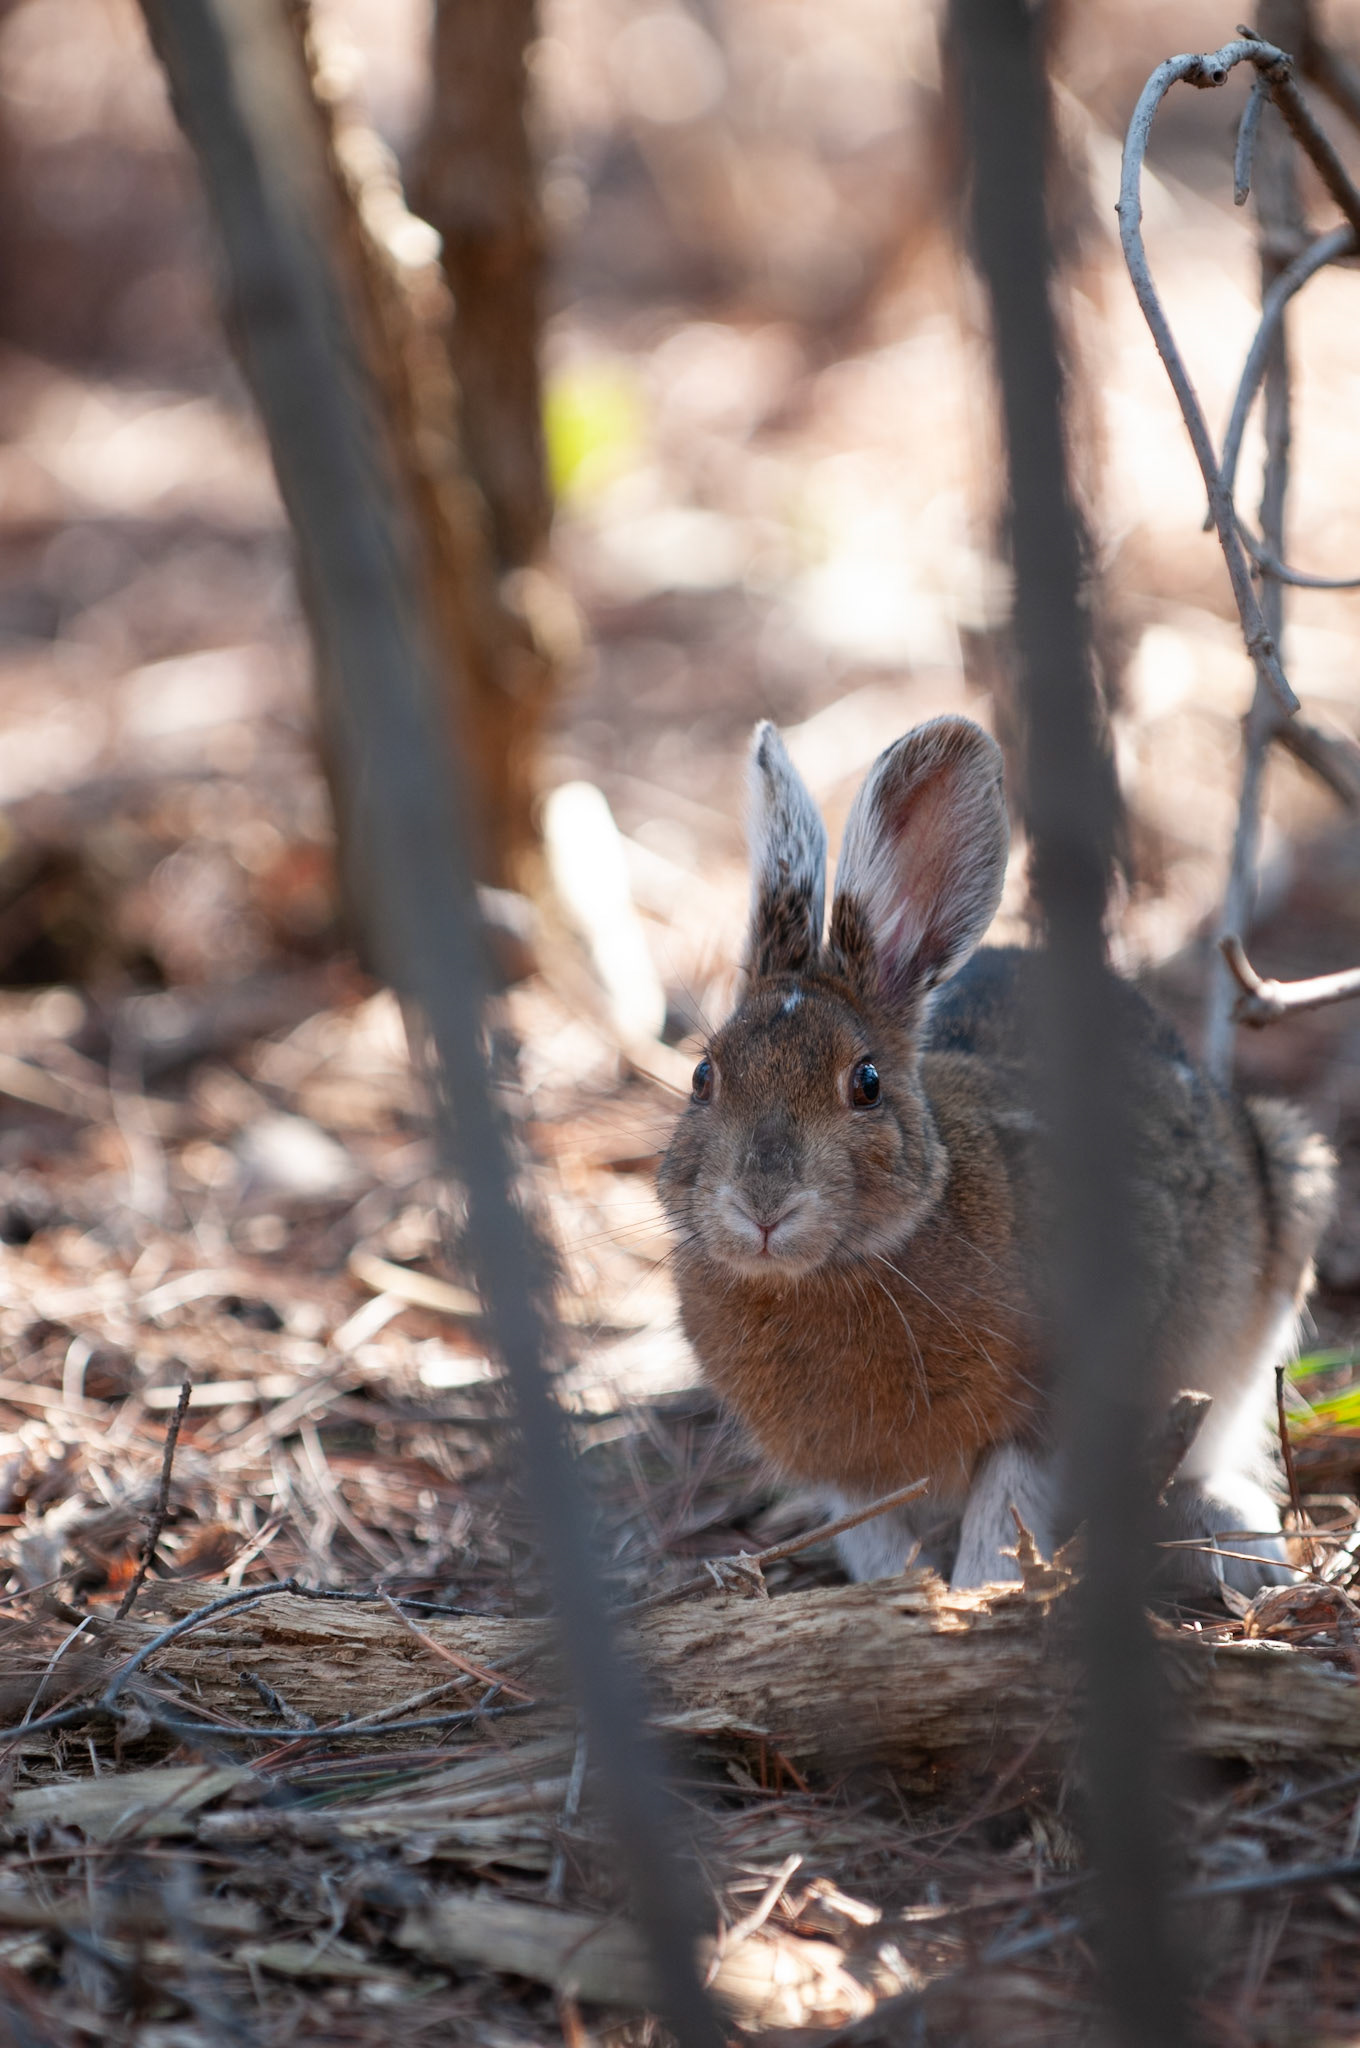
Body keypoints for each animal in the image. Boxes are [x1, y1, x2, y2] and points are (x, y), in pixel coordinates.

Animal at [657, 715, 1335, 1595]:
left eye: (866, 1084)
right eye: (703, 1076)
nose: (762, 1205)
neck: (833, 1272)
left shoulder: (1050, 1405)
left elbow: (1002, 1508)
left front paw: (981, 1595)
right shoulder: (847, 1473)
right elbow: (876, 1539)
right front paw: (897, 1597)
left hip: (1276, 1231)